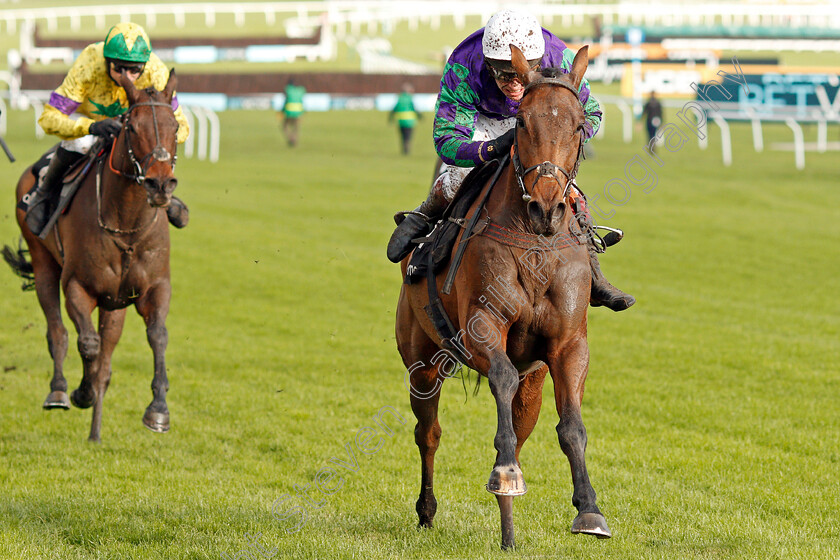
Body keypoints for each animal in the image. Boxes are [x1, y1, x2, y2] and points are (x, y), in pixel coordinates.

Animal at [3, 70, 180, 442]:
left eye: (174, 126)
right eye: (132, 126)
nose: (160, 185)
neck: (126, 225)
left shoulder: (154, 287)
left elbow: (156, 336)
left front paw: (158, 409)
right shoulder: (78, 287)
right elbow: (88, 344)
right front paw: (80, 393)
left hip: (114, 304)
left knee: (107, 356)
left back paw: (95, 433)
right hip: (43, 263)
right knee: (57, 331)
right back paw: (58, 391)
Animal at [398, 46, 612, 548]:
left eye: (578, 124)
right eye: (521, 122)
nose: (546, 208)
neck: (536, 246)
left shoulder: (568, 344)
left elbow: (571, 428)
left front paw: (589, 509)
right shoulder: (482, 331)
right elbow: (499, 379)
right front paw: (506, 474)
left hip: (532, 377)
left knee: (519, 425)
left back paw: (508, 527)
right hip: (421, 361)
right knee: (429, 433)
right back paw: (430, 509)